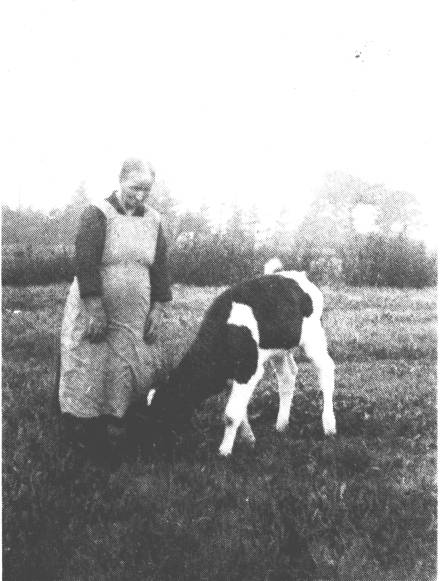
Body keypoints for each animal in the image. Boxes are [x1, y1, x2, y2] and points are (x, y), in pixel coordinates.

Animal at [146, 260, 336, 456]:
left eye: (163, 411)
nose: (150, 445)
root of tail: (296, 275)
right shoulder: (234, 375)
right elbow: (241, 410)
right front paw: (249, 439)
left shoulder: (248, 370)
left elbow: (231, 414)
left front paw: (224, 451)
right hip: (279, 349)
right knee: (287, 376)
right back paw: (281, 425)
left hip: (313, 339)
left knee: (326, 369)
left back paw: (329, 426)